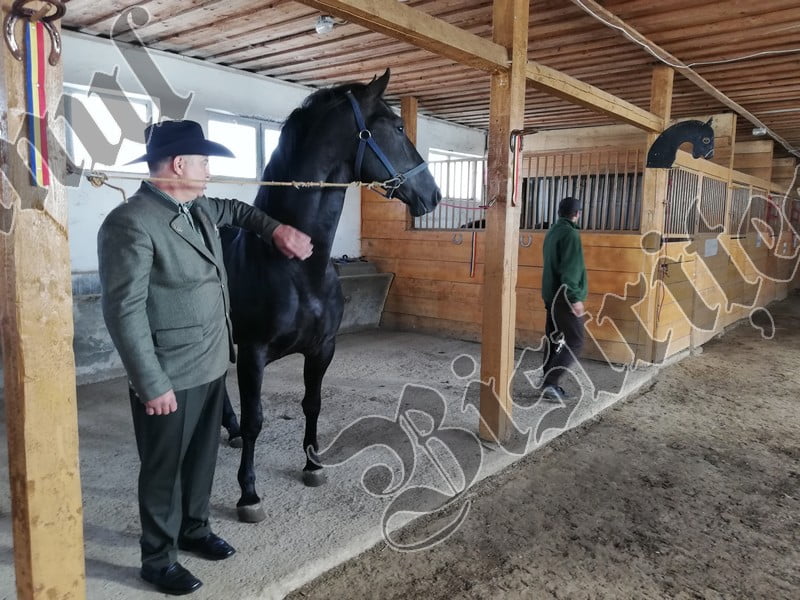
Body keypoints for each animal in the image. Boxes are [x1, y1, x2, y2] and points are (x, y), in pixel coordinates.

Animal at [221, 69, 442, 523]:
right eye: (398, 127)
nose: (434, 194)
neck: (294, 265)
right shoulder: (252, 353)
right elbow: (255, 421)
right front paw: (248, 494)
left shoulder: (322, 348)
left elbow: (313, 404)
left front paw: (313, 465)